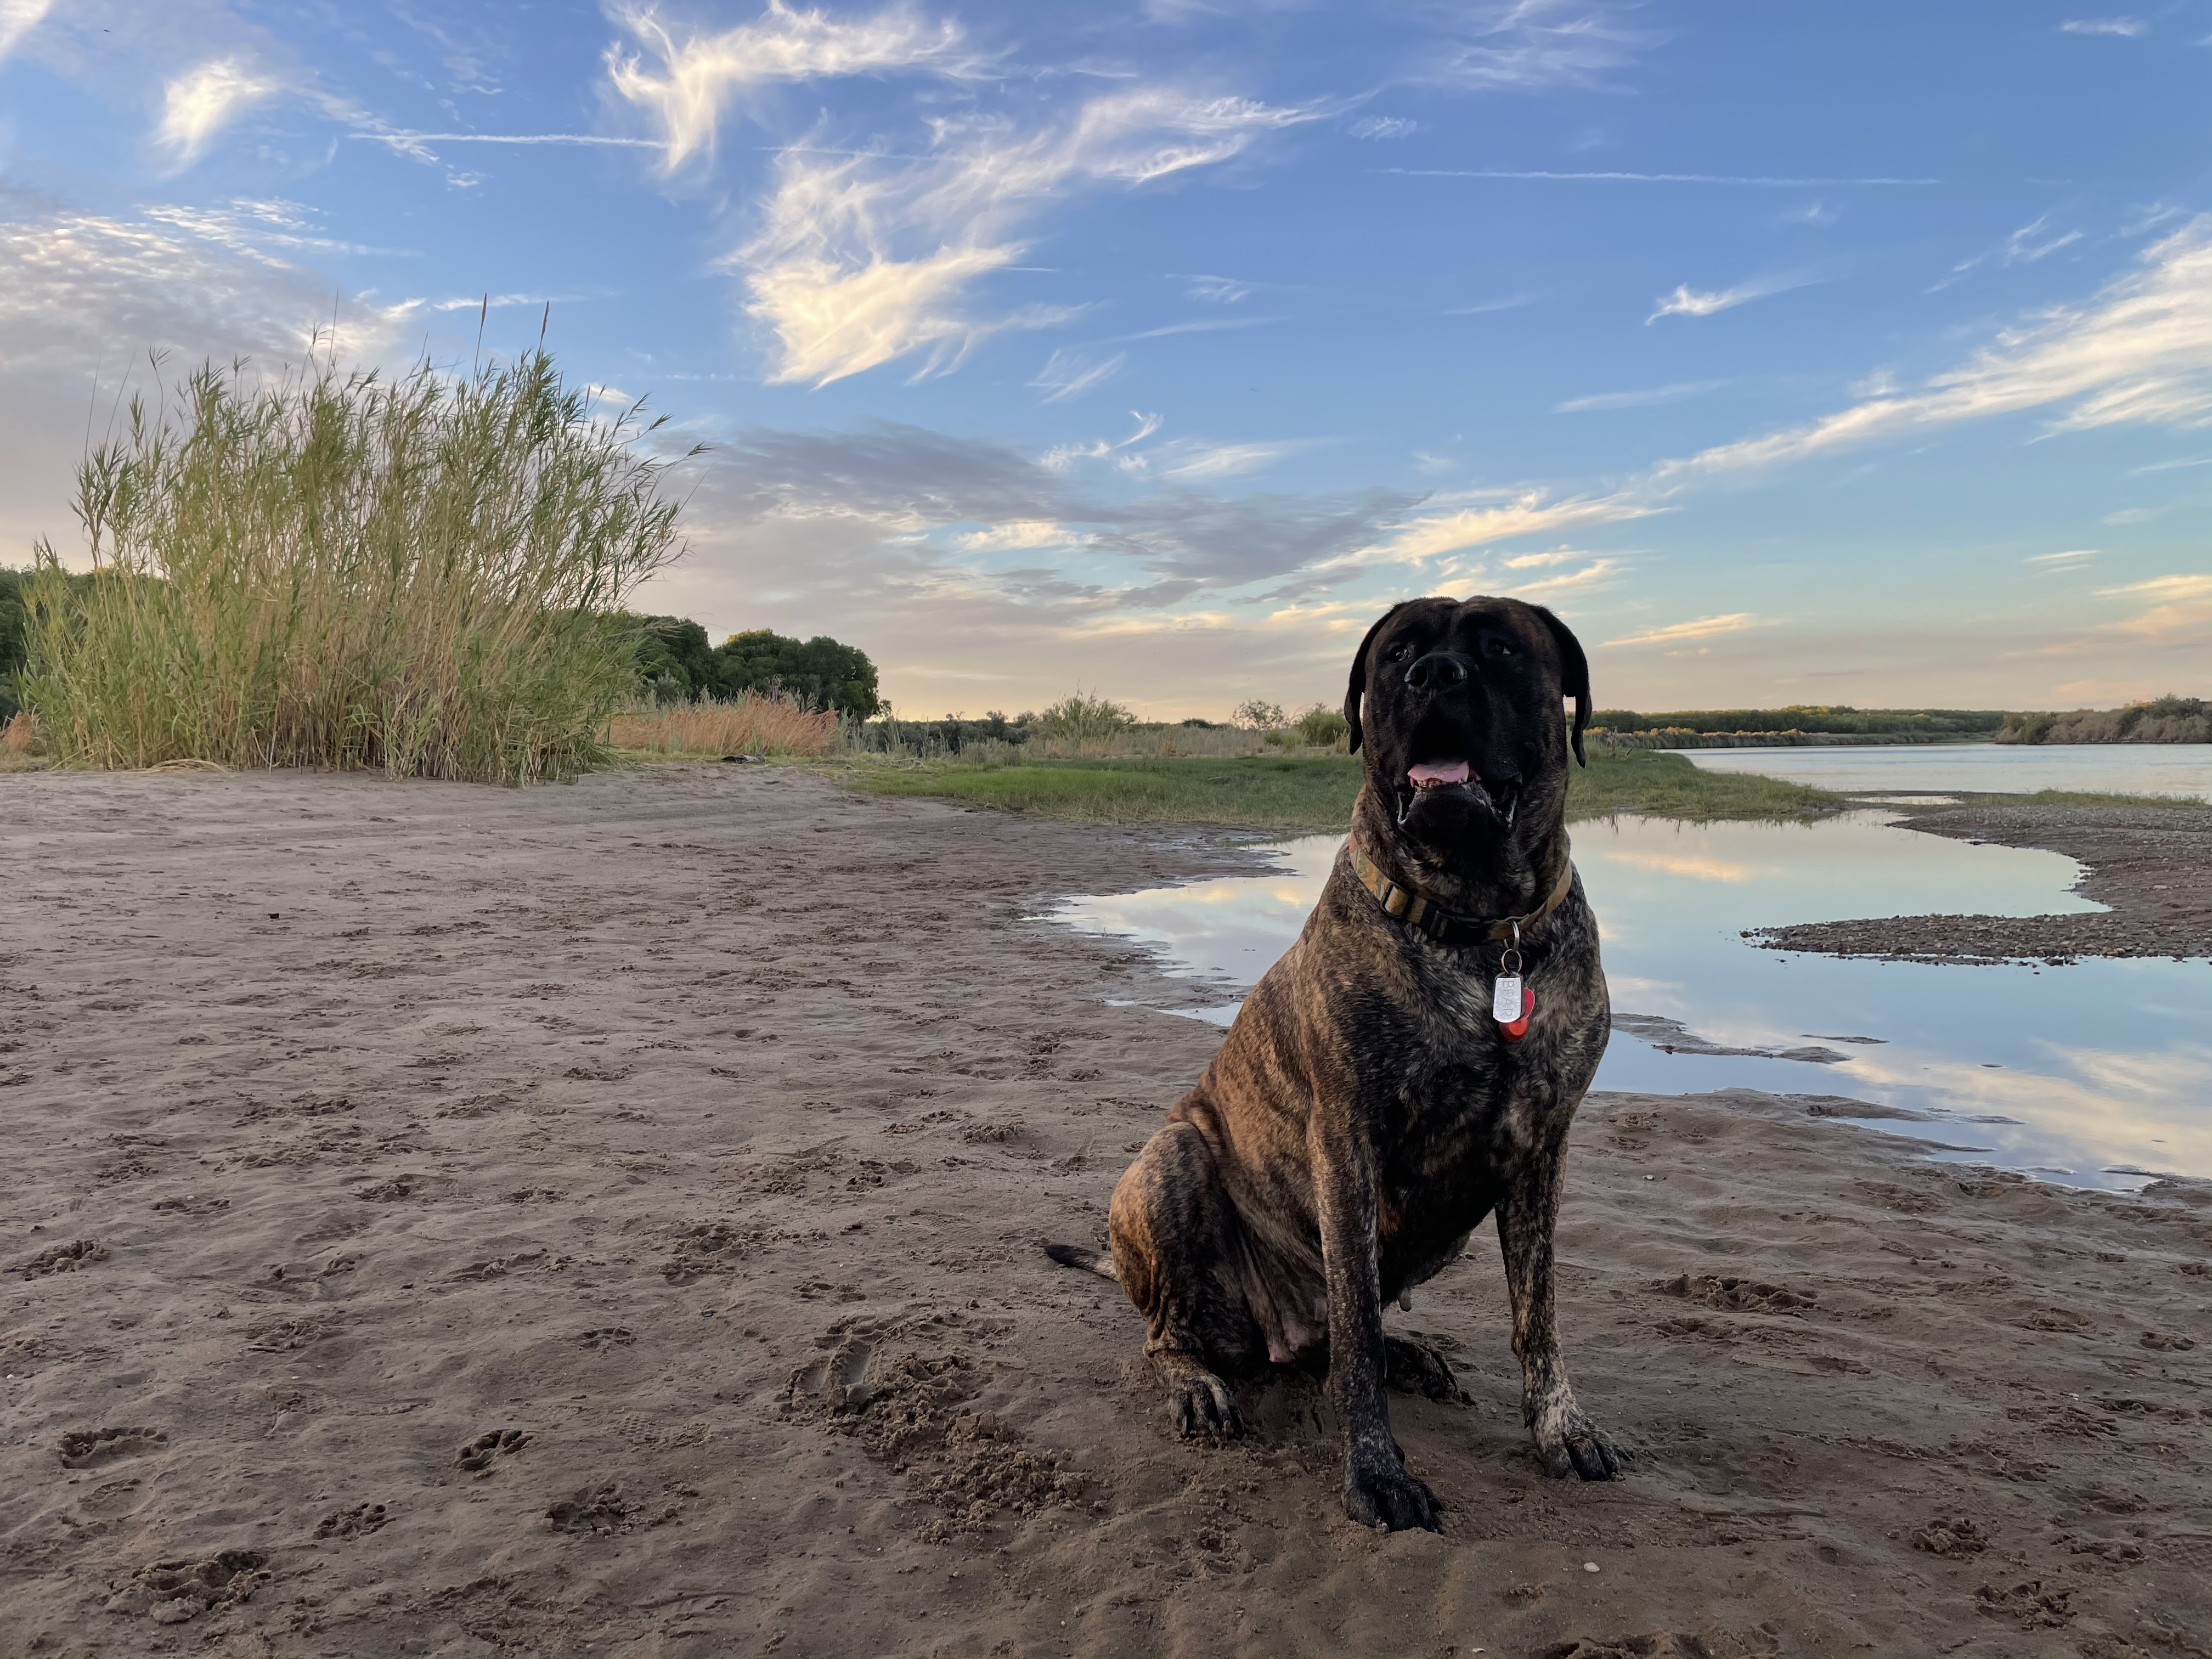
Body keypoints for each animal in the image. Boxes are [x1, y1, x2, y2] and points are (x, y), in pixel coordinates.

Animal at [1044, 597, 1619, 1531]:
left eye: (1500, 647)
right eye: (1398, 653)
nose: (1434, 676)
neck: (1478, 929)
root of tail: (1270, 1334)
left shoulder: (1542, 1148)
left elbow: (1538, 1317)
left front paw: (1561, 1428)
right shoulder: (1346, 1143)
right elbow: (1355, 1330)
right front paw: (1376, 1473)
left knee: (1333, 1343)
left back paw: (1409, 1353)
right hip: (1169, 1162)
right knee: (1177, 1335)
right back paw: (1198, 1383)